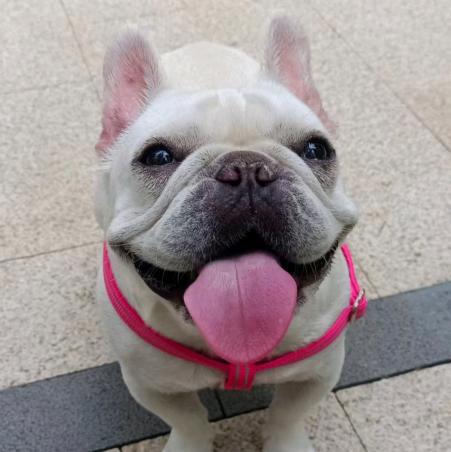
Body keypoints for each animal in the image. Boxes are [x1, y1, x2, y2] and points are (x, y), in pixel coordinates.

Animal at [94, 15, 361, 452]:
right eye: (158, 156)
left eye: (316, 149)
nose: (247, 168)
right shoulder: (151, 383)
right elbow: (187, 420)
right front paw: (190, 445)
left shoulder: (318, 371)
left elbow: (287, 414)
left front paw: (285, 443)